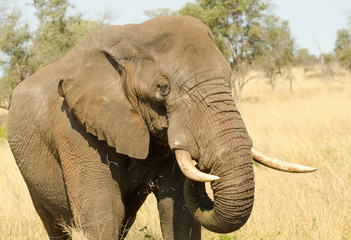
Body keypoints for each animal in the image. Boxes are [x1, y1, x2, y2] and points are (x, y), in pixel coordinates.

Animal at [7, 15, 316, 239]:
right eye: (163, 88)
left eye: (229, 77)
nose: (206, 171)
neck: (130, 37)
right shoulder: (76, 130)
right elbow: (103, 213)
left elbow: (178, 212)